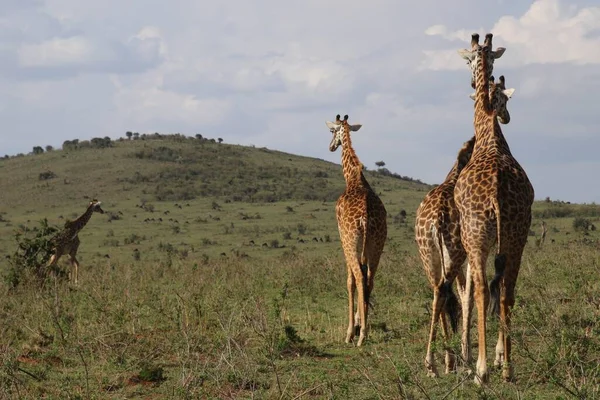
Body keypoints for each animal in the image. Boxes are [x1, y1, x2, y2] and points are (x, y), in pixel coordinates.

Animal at [326, 114, 386, 346]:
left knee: (359, 278)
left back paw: (357, 335)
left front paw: (352, 329)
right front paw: (361, 321)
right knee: (370, 278)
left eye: (331, 131)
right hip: (377, 243)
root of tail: (366, 217)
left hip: (351, 242)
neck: (352, 177)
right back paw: (364, 330)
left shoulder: (343, 238)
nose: (331, 146)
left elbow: (349, 280)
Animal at [414, 79, 516, 376]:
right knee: (451, 293)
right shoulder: (469, 254)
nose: (506, 117)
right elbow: (468, 295)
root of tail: (436, 217)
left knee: (438, 292)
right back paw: (449, 361)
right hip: (455, 253)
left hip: (429, 255)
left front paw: (461, 355)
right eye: (506, 100)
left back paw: (434, 363)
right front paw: (469, 356)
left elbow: (459, 297)